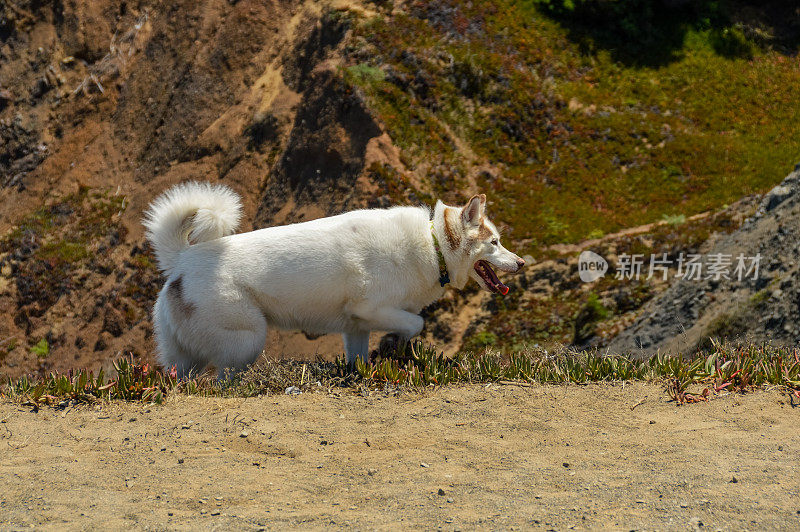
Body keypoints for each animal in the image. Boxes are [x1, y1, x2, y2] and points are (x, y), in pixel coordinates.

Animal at [144, 181, 524, 376]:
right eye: (495, 243)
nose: (521, 263)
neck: (432, 246)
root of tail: (183, 259)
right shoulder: (372, 310)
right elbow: (415, 323)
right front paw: (394, 346)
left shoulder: (356, 327)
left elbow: (359, 358)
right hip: (247, 342)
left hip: (184, 357)